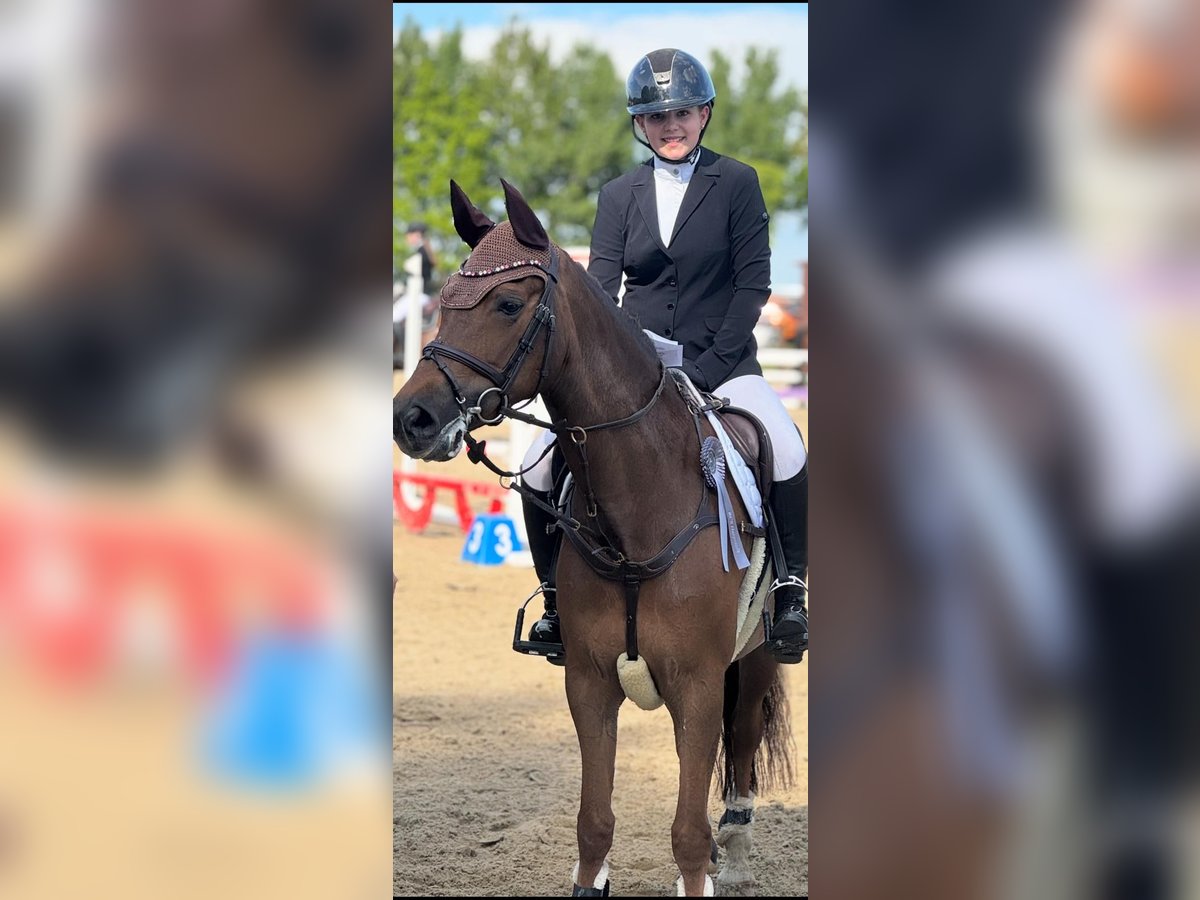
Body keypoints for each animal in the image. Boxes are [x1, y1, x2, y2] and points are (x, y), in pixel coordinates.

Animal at [393, 179, 795, 896]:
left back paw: (737, 849)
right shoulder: (589, 681)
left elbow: (687, 832)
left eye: (508, 303)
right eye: (444, 299)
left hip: (758, 657)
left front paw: (709, 859)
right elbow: (594, 819)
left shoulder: (696, 683)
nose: (412, 418)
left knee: (743, 735)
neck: (640, 507)